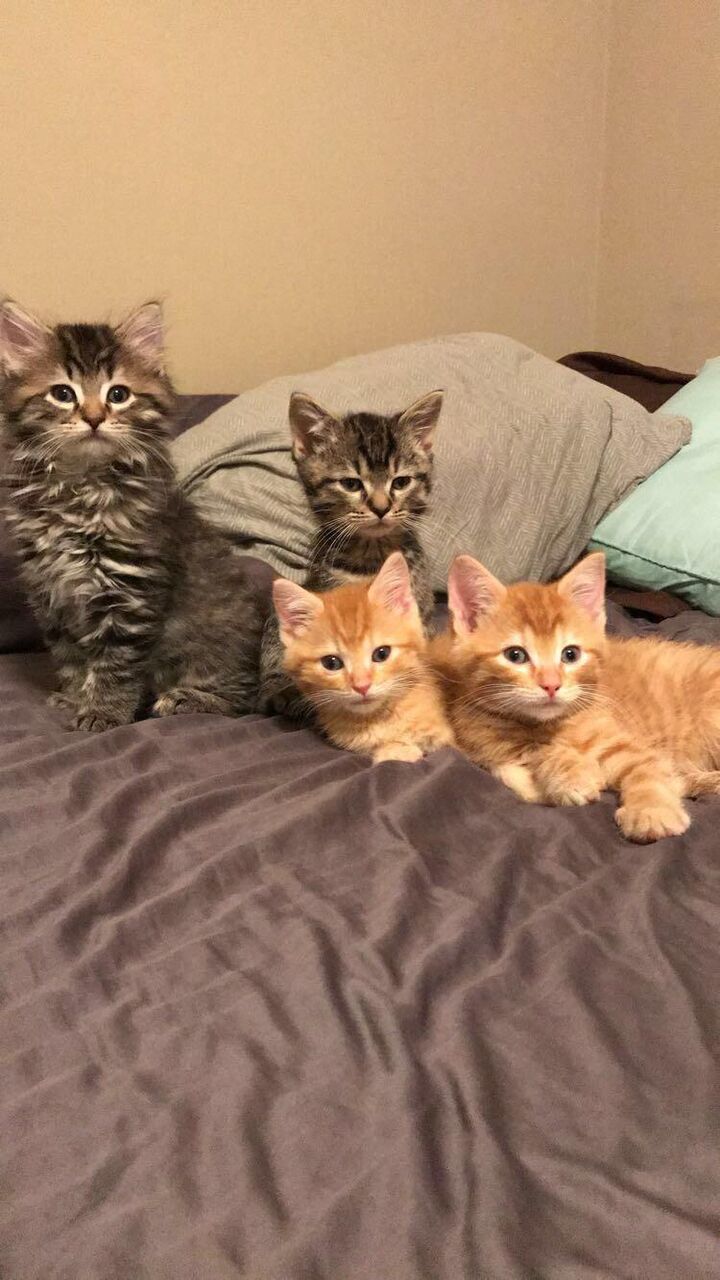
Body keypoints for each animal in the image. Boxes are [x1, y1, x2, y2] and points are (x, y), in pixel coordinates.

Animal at [0, 298, 266, 731]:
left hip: (216, 641)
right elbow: (72, 658)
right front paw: (77, 698)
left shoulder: (129, 595)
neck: (80, 489)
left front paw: (103, 713)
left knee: (242, 700)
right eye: (63, 393)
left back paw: (183, 699)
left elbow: (115, 666)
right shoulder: (51, 590)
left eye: (119, 394)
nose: (94, 417)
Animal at [431, 550, 720, 843]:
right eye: (515, 655)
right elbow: (526, 758)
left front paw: (652, 810)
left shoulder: (623, 742)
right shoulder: (484, 741)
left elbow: (646, 769)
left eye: (570, 654)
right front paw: (572, 776)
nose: (551, 685)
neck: (543, 724)